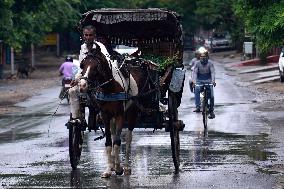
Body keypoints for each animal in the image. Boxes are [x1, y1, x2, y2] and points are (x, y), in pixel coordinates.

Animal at [77, 42, 155, 177]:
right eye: (83, 65)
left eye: (96, 66)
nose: (82, 85)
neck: (109, 87)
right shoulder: (105, 114)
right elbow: (109, 141)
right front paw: (109, 168)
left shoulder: (120, 114)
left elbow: (118, 141)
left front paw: (119, 168)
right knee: (113, 136)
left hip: (132, 111)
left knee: (128, 138)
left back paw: (127, 166)